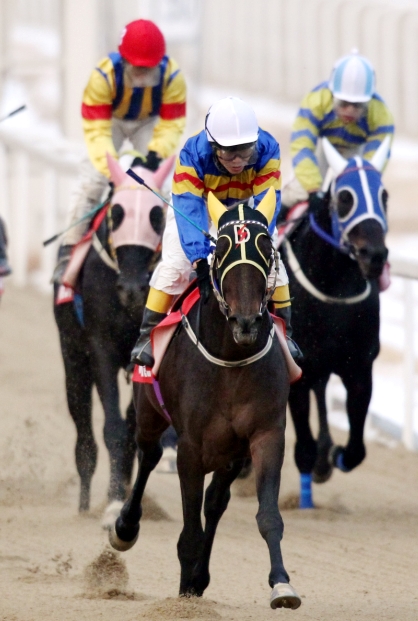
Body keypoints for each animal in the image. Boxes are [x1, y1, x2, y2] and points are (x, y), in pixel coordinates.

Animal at [54, 154, 175, 524]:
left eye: (156, 216)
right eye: (117, 213)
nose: (133, 288)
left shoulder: (148, 354)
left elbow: (137, 432)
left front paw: (120, 498)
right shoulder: (101, 347)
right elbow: (114, 428)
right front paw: (110, 503)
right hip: (73, 358)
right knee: (83, 430)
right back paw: (83, 504)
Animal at [109, 189, 302, 612]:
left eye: (267, 248)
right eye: (222, 249)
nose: (246, 323)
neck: (231, 357)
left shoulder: (265, 435)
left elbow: (267, 515)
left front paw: (282, 585)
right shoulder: (191, 447)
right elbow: (189, 529)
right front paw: (184, 598)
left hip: (231, 452)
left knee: (215, 501)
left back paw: (200, 576)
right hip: (149, 414)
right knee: (148, 455)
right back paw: (125, 527)